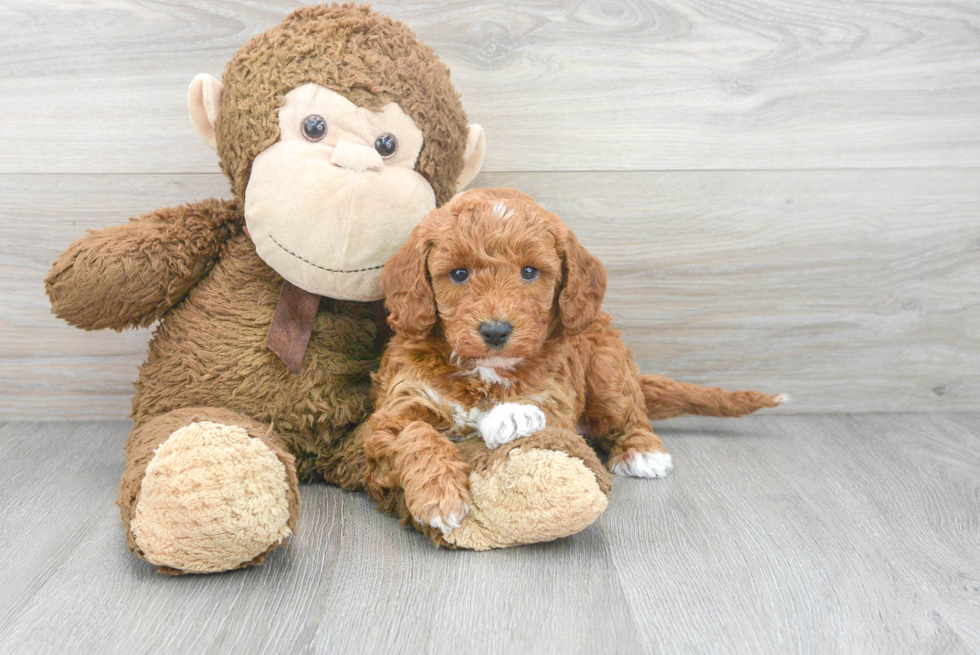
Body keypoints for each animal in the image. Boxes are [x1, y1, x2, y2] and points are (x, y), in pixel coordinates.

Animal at [360, 187, 780, 536]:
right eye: (459, 273)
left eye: (530, 271)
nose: (496, 331)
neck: (484, 370)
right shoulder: (391, 412)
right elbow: (417, 434)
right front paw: (439, 495)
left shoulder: (558, 397)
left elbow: (531, 413)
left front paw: (511, 415)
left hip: (607, 369)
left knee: (630, 414)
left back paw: (644, 452)